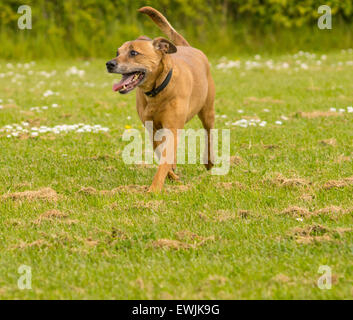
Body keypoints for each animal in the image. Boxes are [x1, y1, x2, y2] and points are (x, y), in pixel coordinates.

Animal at [105, 6, 214, 192]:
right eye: (117, 52)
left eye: (134, 52)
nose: (109, 64)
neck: (157, 91)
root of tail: (189, 47)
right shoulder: (153, 129)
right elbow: (160, 154)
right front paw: (172, 176)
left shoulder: (172, 127)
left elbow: (164, 160)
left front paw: (154, 190)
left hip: (207, 110)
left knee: (208, 132)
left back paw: (209, 161)